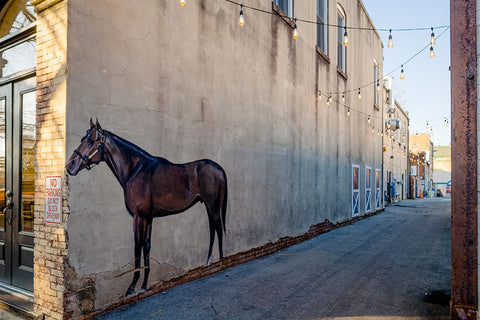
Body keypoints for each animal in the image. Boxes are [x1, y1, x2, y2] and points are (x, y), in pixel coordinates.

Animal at [66, 119, 229, 296]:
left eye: (90, 141)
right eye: (82, 139)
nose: (70, 166)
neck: (135, 170)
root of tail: (220, 169)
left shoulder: (139, 217)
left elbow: (137, 246)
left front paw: (132, 286)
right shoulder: (149, 217)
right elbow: (147, 246)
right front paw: (144, 284)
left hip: (212, 205)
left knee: (217, 228)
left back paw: (218, 260)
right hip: (209, 205)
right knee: (213, 228)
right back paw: (210, 261)